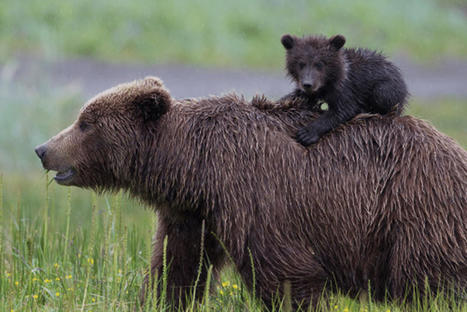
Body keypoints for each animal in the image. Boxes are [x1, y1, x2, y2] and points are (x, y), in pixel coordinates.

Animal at [34, 77, 466, 308]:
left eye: (86, 123)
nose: (42, 149)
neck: (195, 166)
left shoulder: (256, 196)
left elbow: (287, 274)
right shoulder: (192, 213)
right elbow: (177, 267)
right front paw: (158, 300)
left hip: (414, 213)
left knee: (428, 284)